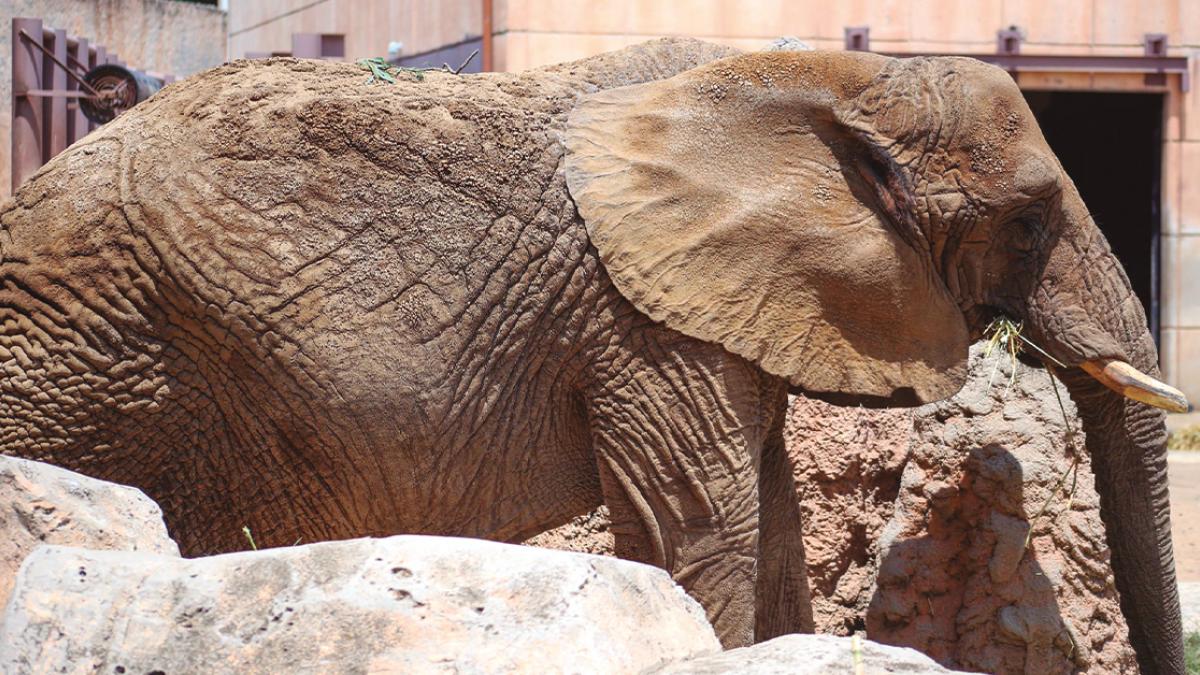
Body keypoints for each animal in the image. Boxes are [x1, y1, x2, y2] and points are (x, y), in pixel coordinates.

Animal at [0, 39, 1185, 667]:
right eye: (1029, 223)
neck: (836, 77)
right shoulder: (641, 323)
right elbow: (702, 530)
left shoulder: (713, 311)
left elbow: (770, 522)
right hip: (80, 345)